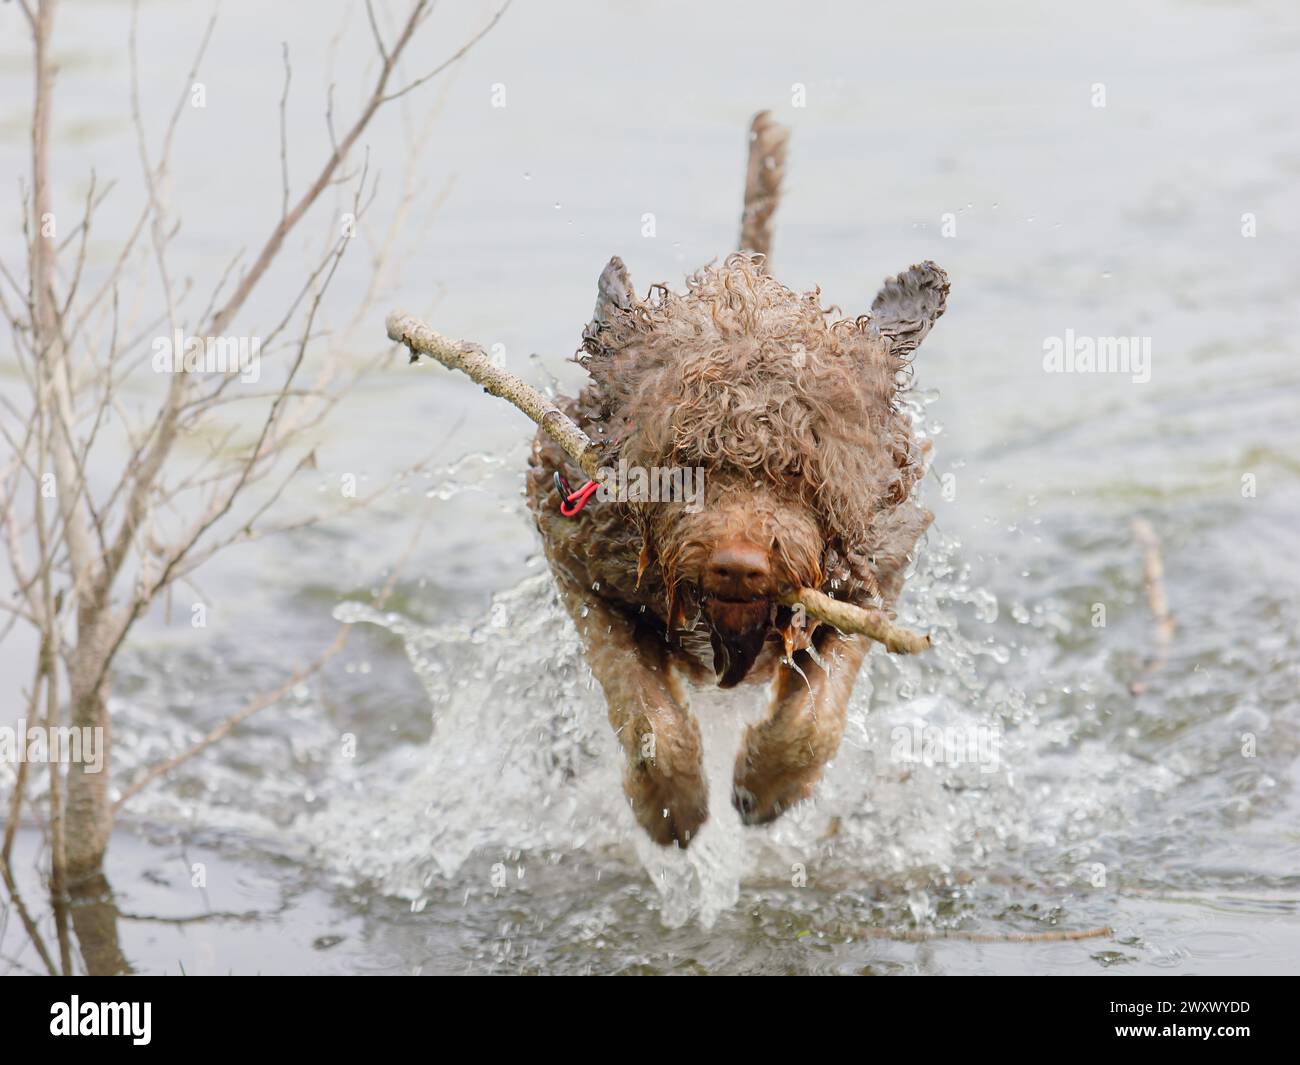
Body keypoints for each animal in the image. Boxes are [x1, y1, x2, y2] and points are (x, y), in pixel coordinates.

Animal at [522, 114, 951, 847]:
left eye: (805, 470)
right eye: (685, 460)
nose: (740, 565)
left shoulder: (872, 575)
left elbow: (816, 716)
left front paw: (766, 783)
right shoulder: (578, 557)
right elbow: (643, 710)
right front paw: (670, 802)